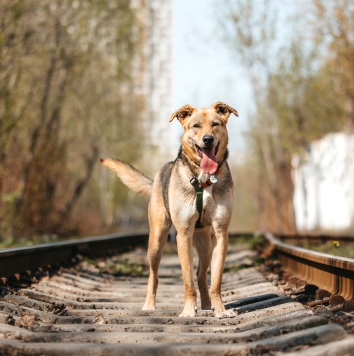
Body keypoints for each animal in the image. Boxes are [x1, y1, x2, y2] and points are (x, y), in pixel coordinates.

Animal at [99, 101, 238, 318]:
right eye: (196, 126)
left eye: (216, 124)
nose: (207, 139)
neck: (203, 179)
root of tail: (157, 176)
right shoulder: (183, 235)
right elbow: (187, 280)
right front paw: (188, 311)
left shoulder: (221, 233)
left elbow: (215, 281)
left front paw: (221, 310)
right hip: (156, 241)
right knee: (153, 276)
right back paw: (149, 305)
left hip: (205, 245)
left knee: (201, 275)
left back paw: (207, 306)